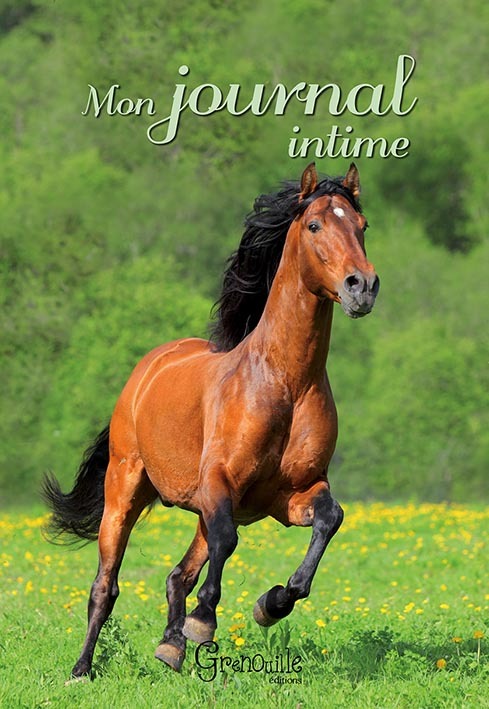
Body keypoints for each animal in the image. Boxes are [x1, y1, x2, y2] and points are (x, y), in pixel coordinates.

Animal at [42, 162, 379, 678]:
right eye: (314, 225)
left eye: (362, 226)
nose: (361, 286)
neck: (285, 381)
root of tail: (149, 367)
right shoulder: (220, 482)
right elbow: (226, 541)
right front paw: (204, 621)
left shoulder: (291, 494)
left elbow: (329, 518)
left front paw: (272, 603)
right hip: (125, 490)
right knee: (107, 584)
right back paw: (82, 669)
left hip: (198, 505)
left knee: (177, 575)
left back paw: (171, 648)